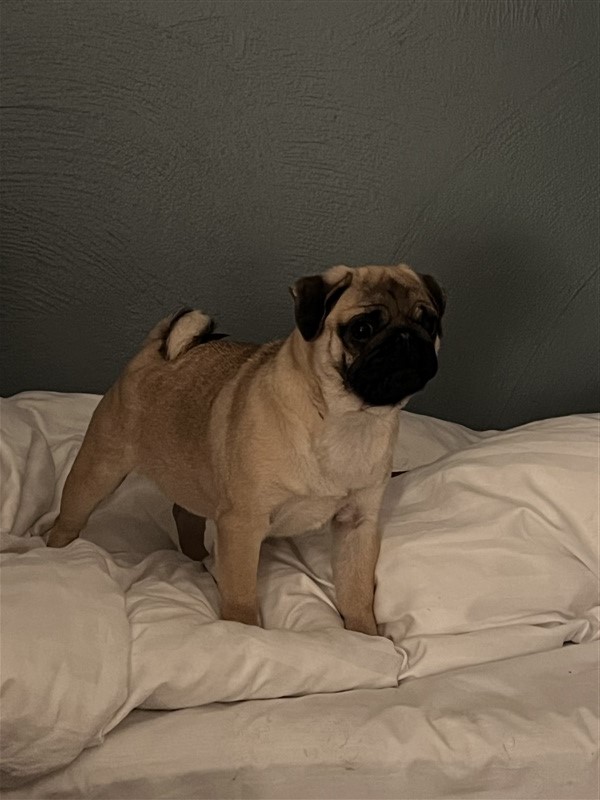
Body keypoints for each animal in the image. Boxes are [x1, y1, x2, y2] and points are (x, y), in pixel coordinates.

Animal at [47, 264, 445, 635]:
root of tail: (156, 350)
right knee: (70, 516)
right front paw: (242, 633)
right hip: (99, 469)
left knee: (185, 513)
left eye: (429, 322)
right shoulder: (243, 523)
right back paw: (57, 552)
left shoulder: (357, 524)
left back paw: (199, 559)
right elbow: (240, 594)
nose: (407, 337)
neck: (346, 420)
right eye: (362, 329)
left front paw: (365, 636)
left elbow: (357, 591)